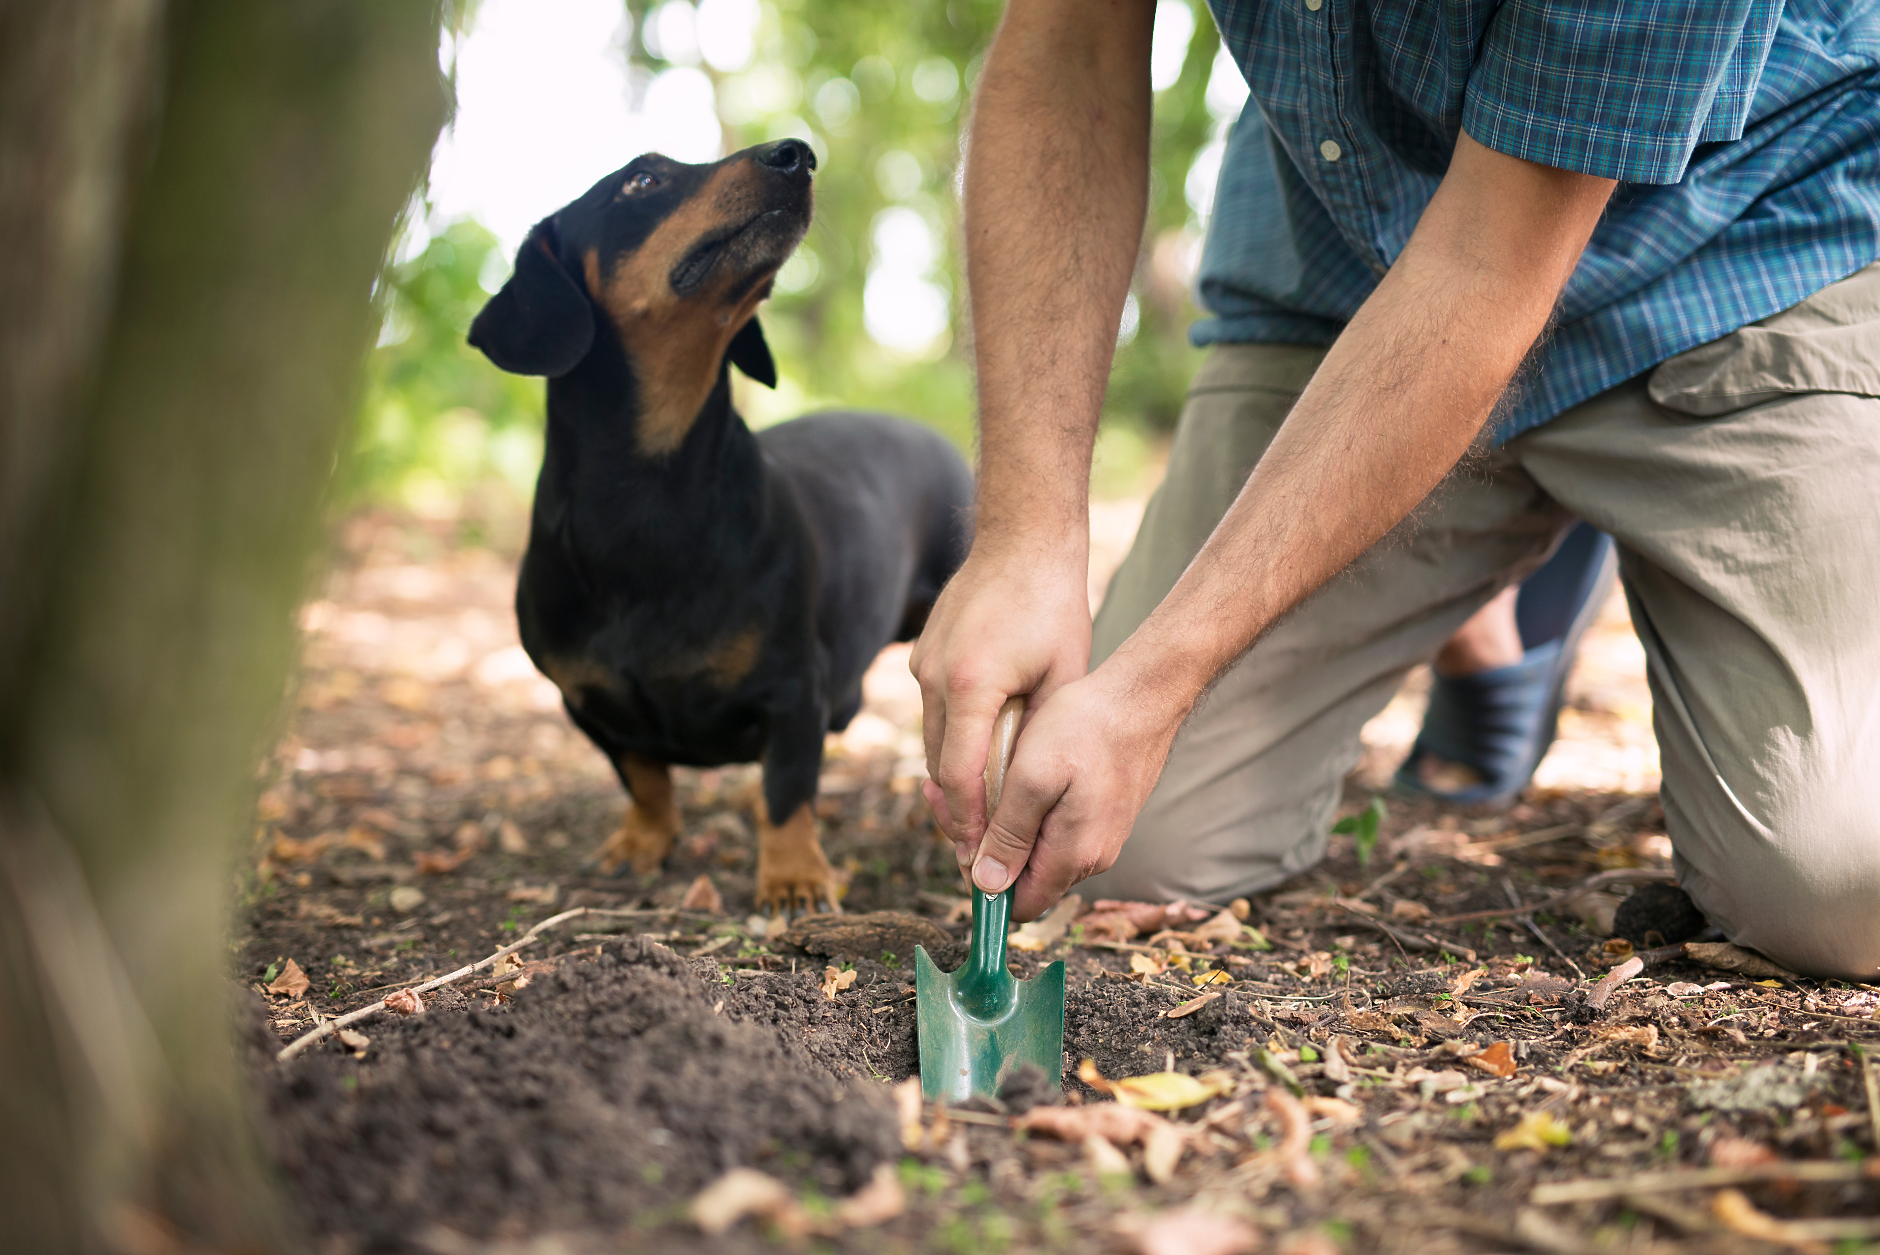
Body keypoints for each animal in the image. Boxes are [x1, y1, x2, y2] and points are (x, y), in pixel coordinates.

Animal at [466, 141, 970, 916]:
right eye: (641, 180)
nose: (797, 153)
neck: (649, 503)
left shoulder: (794, 691)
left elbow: (786, 790)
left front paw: (793, 877)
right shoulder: (584, 702)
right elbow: (644, 778)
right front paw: (642, 842)